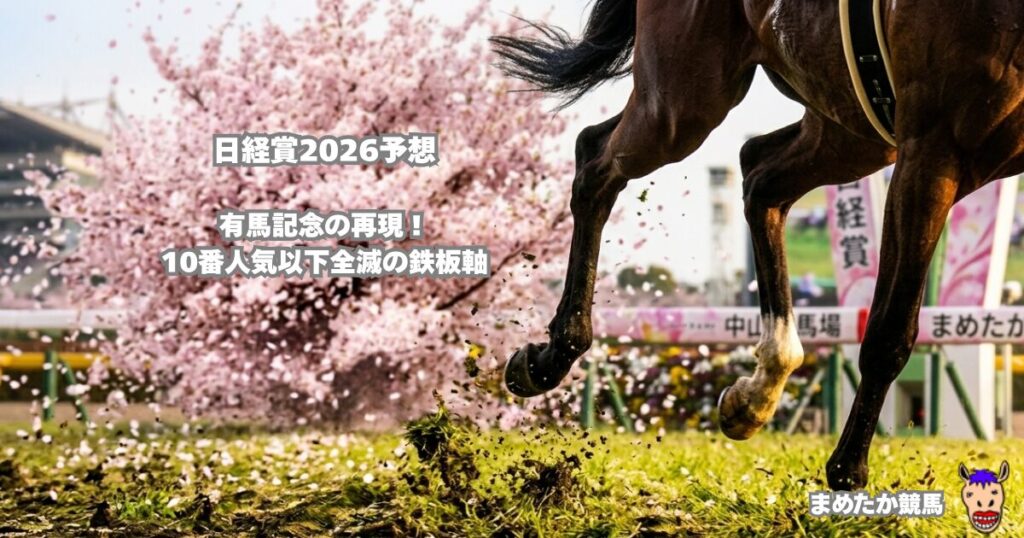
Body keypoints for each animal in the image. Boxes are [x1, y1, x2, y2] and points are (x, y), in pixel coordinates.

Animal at [490, 0, 1024, 490]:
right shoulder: (933, 149)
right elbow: (889, 331)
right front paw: (847, 470)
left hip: (851, 126)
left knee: (759, 172)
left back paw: (758, 391)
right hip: (684, 100)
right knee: (597, 161)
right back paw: (552, 356)